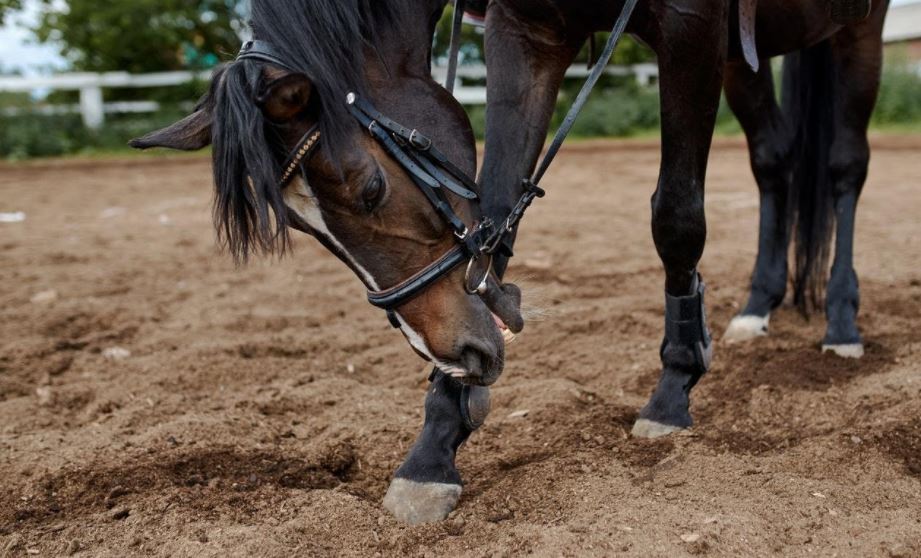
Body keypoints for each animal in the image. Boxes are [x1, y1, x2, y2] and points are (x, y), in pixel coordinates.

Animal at [473, 0, 889, 439]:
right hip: (744, 55)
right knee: (773, 160)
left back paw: (841, 318)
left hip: (859, 31)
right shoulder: (525, 28)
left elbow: (676, 218)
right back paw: (757, 305)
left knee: (846, 164)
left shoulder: (691, 28)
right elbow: (491, 209)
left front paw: (674, 386)